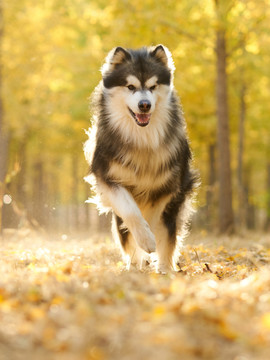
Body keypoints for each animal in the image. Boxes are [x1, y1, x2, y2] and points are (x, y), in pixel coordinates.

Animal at [84, 43, 198, 272]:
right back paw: (135, 266)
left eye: (153, 86)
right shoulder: (108, 178)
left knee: (168, 238)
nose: (144, 104)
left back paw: (165, 269)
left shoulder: (168, 186)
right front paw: (144, 239)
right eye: (130, 86)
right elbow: (131, 212)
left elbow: (153, 216)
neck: (141, 140)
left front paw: (149, 238)